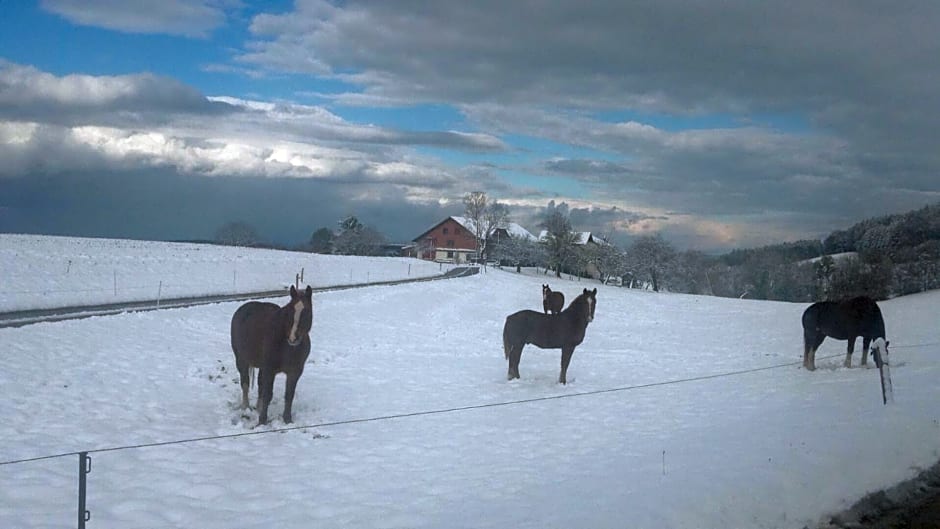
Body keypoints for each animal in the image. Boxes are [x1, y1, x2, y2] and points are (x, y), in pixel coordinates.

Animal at [232, 284, 314, 424]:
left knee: (259, 384)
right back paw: (246, 407)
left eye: (307, 312)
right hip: (241, 360)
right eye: (289, 311)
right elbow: (268, 395)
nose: (293, 338)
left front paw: (287, 420)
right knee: (245, 383)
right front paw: (262, 421)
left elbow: (289, 395)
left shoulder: (294, 372)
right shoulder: (270, 370)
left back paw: (258, 407)